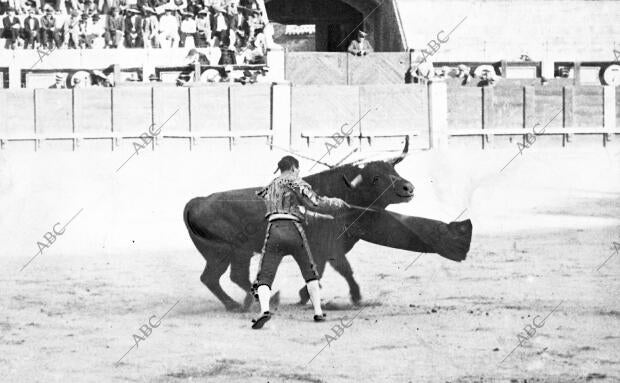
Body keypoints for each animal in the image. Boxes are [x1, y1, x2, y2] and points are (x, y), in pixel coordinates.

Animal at [182, 159, 472, 312]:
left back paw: (242, 303)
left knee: (214, 278)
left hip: (221, 255)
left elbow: (325, 270)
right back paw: (259, 301)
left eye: (394, 170)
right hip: (233, 252)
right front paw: (353, 297)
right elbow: (341, 269)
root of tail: (196, 202)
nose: (408, 187)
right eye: (376, 177)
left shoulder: (325, 247)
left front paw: (307, 295)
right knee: (231, 276)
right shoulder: (329, 245)